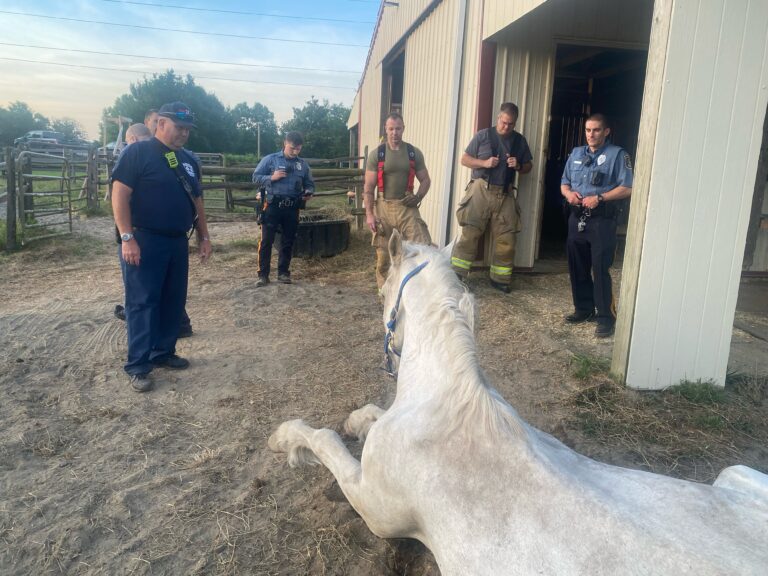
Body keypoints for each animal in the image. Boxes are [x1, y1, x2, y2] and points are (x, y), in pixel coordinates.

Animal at [268, 232, 768, 572]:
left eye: (383, 290)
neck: (447, 404)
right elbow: (370, 416)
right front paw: (359, 420)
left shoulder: (374, 506)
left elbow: (324, 439)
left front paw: (286, 438)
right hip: (737, 473)